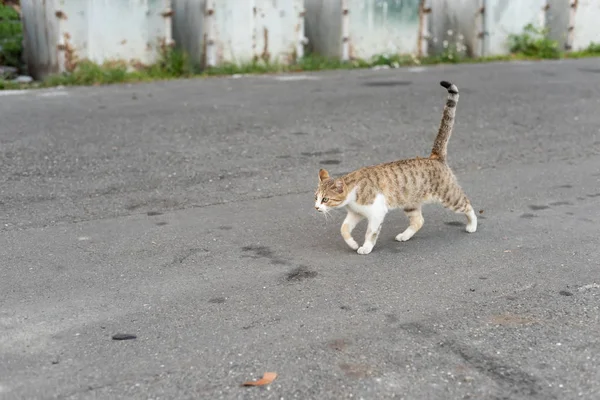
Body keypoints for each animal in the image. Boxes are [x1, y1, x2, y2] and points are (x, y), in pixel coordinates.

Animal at [314, 80, 478, 256]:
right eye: (315, 197)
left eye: (325, 199)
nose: (316, 207)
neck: (353, 191)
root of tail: (434, 157)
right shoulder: (355, 213)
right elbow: (343, 229)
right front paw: (352, 244)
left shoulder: (376, 212)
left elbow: (370, 233)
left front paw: (366, 247)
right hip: (410, 202)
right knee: (419, 221)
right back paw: (405, 236)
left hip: (449, 196)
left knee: (467, 204)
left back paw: (472, 225)